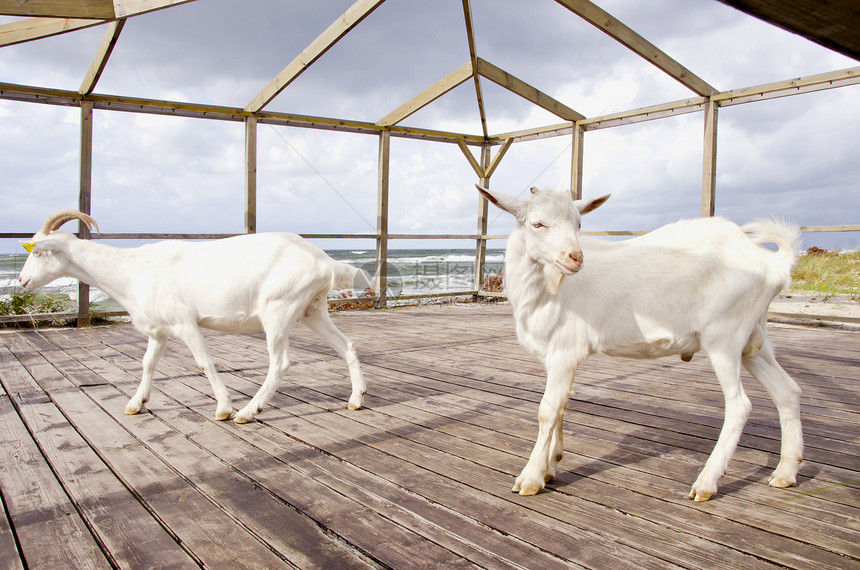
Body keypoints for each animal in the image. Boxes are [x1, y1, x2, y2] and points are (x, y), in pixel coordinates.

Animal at [17, 209, 366, 422]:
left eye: (38, 252)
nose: (21, 281)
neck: (132, 270)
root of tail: (324, 261)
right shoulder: (158, 330)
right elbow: (147, 363)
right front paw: (135, 403)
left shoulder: (183, 322)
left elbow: (204, 362)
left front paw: (223, 408)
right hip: (311, 308)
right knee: (346, 345)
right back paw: (357, 398)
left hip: (278, 308)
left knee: (279, 363)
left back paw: (248, 411)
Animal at [480, 184, 804, 500]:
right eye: (538, 224)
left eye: (578, 223)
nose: (575, 257)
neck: (548, 289)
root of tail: (772, 264)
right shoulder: (554, 355)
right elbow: (561, 405)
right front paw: (551, 468)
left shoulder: (566, 349)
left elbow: (547, 411)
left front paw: (531, 478)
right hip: (752, 340)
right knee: (786, 390)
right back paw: (785, 473)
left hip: (724, 336)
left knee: (739, 405)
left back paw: (706, 483)